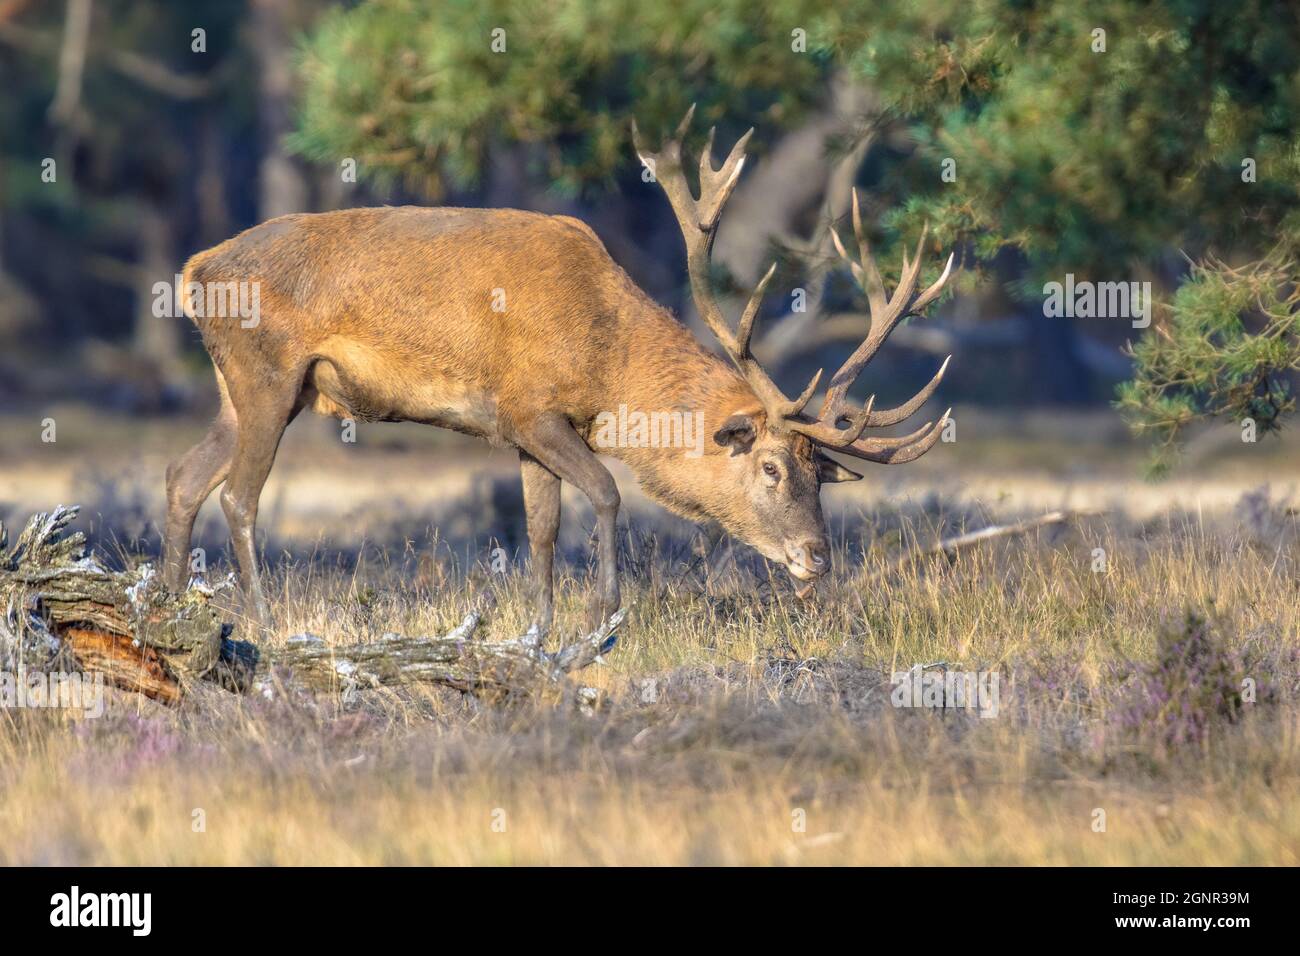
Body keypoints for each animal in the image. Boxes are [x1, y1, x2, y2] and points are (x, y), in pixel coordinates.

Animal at [162, 107, 954, 637]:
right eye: (770, 467)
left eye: (821, 474)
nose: (818, 557)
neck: (606, 361)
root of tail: (194, 271)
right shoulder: (527, 408)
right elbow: (604, 491)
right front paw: (602, 615)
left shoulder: (525, 433)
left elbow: (540, 530)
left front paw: (538, 631)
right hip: (267, 372)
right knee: (237, 496)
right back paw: (262, 622)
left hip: (250, 391)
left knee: (183, 477)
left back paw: (167, 607)